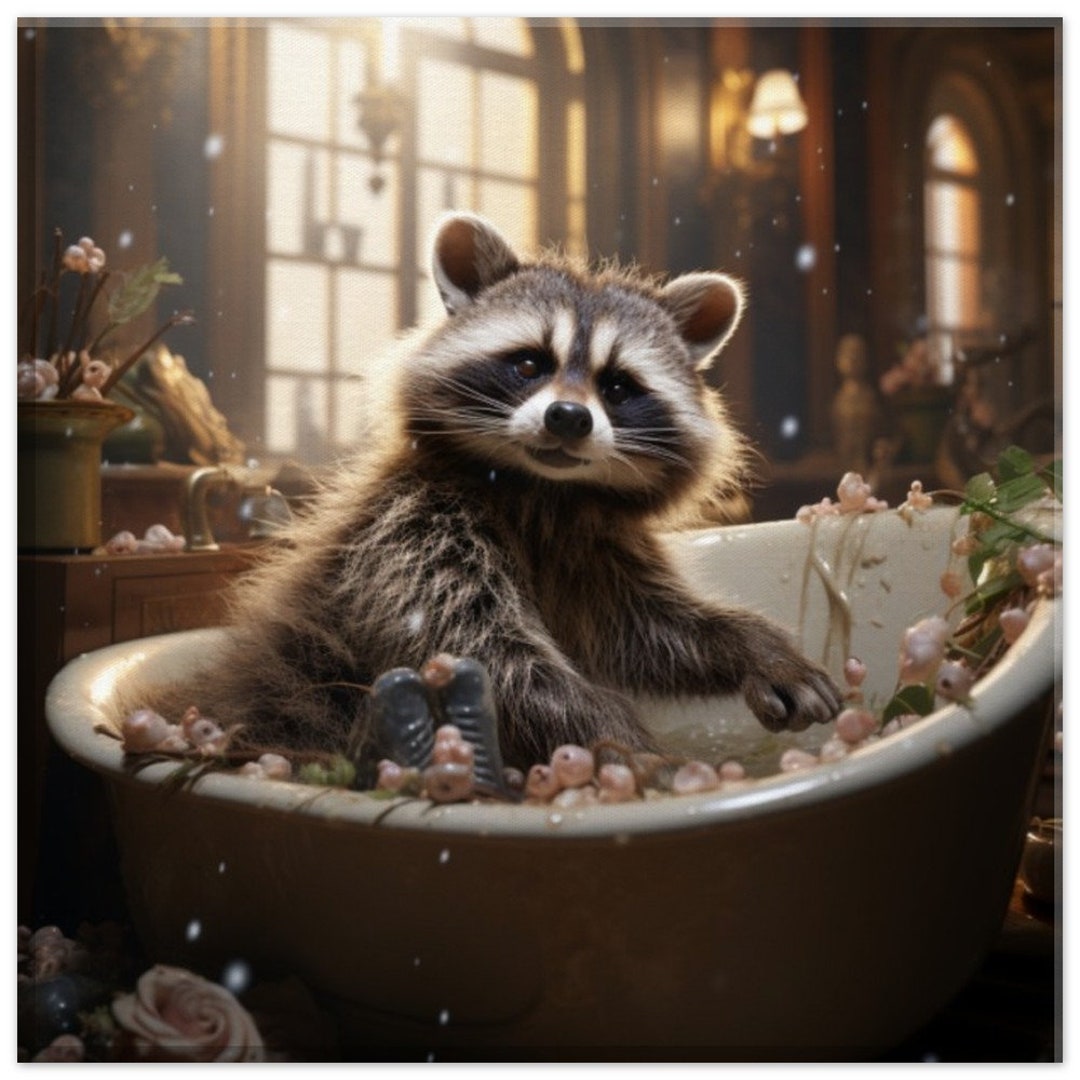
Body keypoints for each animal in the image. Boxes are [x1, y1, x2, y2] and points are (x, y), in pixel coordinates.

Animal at [183, 213, 842, 771]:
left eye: (618, 386)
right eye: (529, 364)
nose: (569, 418)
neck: (540, 490)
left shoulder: (590, 543)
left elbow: (644, 630)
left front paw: (750, 645)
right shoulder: (412, 533)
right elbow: (485, 657)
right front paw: (625, 745)